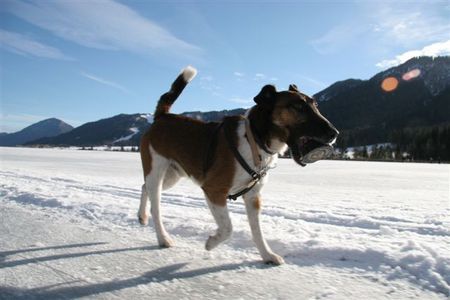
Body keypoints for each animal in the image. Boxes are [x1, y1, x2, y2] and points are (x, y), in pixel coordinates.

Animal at [137, 66, 338, 264]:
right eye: (298, 107)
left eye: (315, 105)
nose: (334, 133)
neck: (254, 139)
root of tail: (162, 116)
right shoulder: (214, 190)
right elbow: (228, 228)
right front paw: (211, 243)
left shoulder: (253, 197)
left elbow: (257, 232)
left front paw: (267, 255)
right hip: (156, 172)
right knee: (155, 206)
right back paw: (163, 238)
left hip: (172, 175)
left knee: (144, 187)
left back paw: (142, 216)